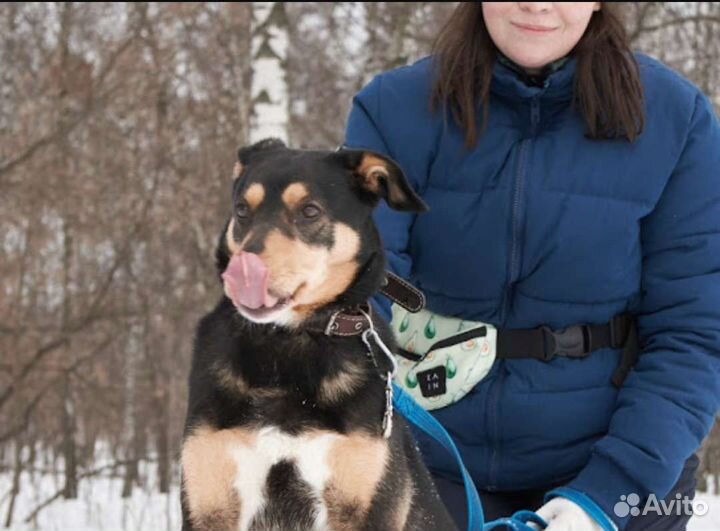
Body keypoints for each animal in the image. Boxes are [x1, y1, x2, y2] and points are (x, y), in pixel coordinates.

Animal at [180, 138, 458, 531]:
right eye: (242, 210)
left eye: (309, 211)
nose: (242, 271)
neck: (286, 342)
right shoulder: (210, 500)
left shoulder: (363, 503)